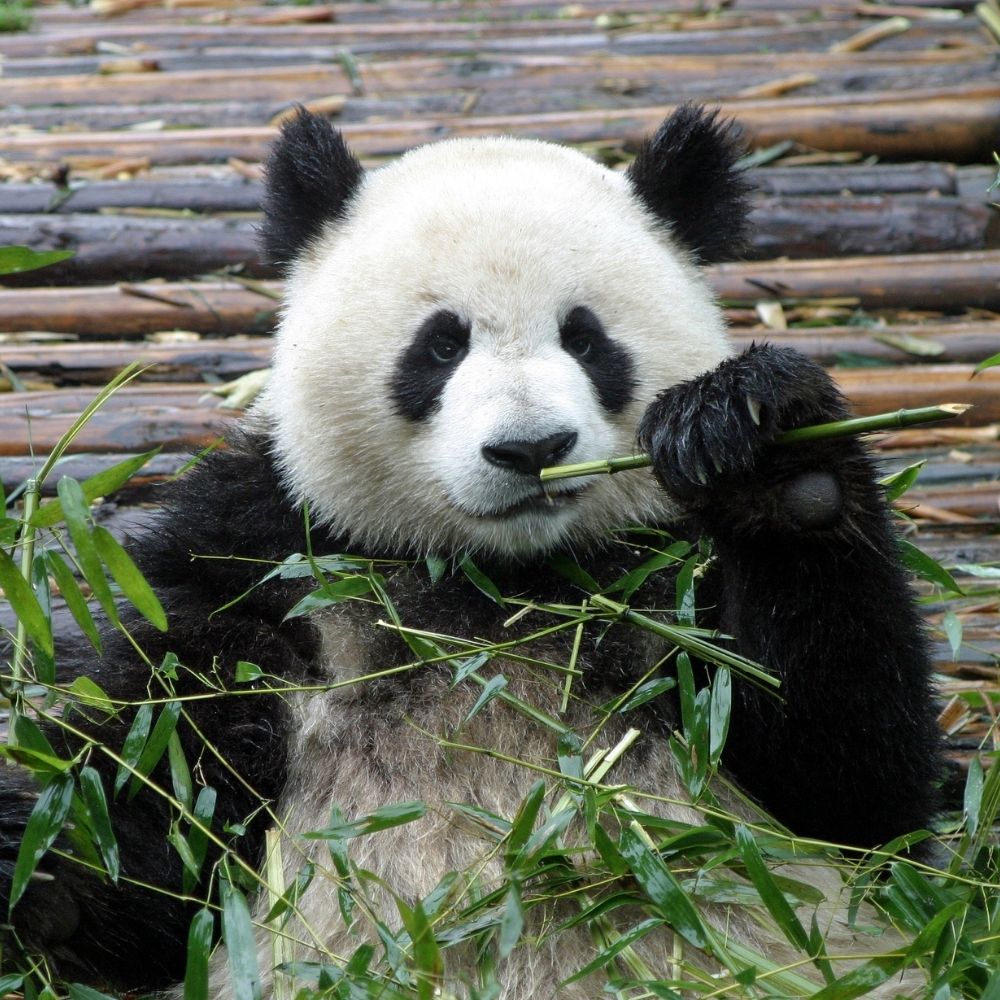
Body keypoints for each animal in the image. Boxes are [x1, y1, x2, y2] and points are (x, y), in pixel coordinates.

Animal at [1, 105, 942, 998]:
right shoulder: (263, 566)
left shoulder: (670, 581)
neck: (500, 579)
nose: (531, 449)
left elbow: (852, 792)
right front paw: (36, 857)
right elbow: (156, 815)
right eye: (441, 344)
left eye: (586, 338)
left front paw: (770, 450)